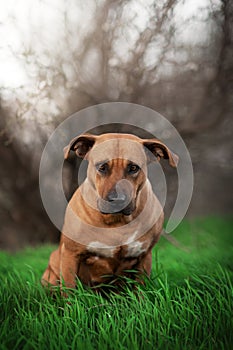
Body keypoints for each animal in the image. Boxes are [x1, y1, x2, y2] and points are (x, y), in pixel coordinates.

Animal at [41, 133, 177, 292]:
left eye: (133, 167)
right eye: (102, 167)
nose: (117, 199)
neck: (116, 220)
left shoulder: (144, 256)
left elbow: (140, 289)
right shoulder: (70, 253)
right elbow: (69, 289)